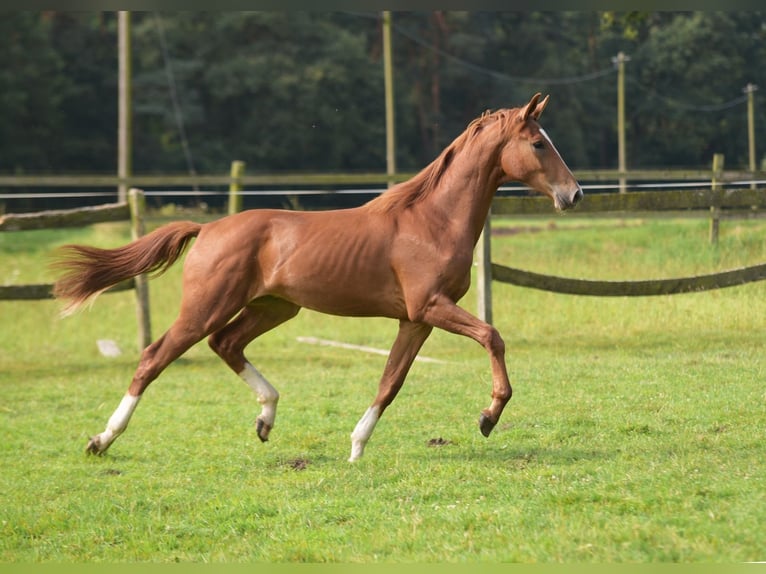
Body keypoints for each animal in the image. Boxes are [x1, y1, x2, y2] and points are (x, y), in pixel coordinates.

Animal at [54, 94, 584, 464]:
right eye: (538, 143)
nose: (574, 195)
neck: (431, 221)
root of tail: (206, 229)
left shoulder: (415, 320)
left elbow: (390, 383)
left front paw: (355, 448)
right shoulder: (431, 306)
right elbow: (492, 337)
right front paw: (488, 417)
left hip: (274, 307)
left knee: (226, 344)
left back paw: (266, 417)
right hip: (206, 307)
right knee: (154, 357)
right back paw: (102, 440)